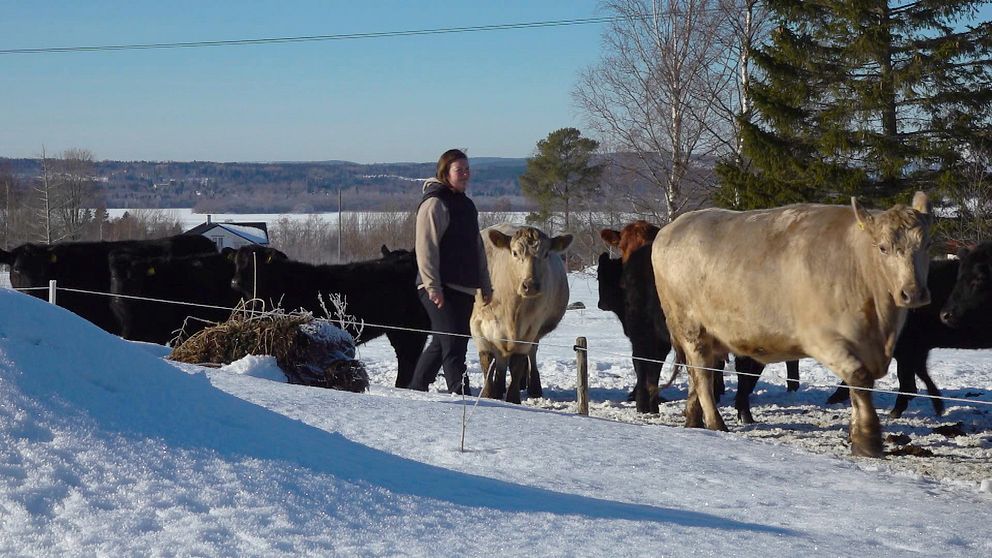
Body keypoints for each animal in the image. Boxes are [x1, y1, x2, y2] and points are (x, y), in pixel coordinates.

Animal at [472, 225, 572, 404]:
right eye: (515, 253)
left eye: (546, 253)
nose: (530, 285)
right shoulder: (478, 326)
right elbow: (487, 361)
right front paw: (489, 395)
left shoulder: (530, 328)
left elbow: (517, 364)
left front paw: (513, 398)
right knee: (501, 361)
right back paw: (499, 388)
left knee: (530, 355)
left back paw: (534, 387)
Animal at [652, 194, 928, 460]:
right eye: (883, 248)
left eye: (925, 245)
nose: (913, 293)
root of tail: (674, 226)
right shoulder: (822, 338)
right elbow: (859, 379)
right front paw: (867, 440)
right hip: (690, 327)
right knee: (702, 374)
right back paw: (715, 423)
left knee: (695, 373)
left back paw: (693, 418)